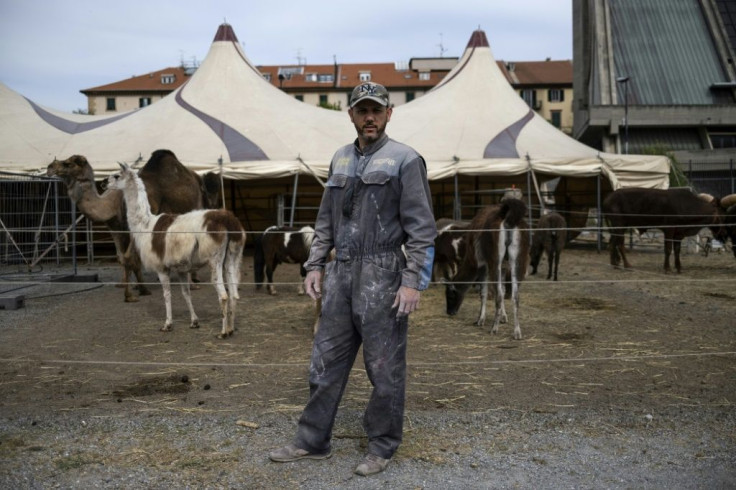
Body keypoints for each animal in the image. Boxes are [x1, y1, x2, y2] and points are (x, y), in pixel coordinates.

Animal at [47, 149, 221, 302]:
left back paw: (192, 283)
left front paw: (132, 294)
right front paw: (137, 287)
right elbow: (123, 257)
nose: (50, 167)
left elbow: (131, 257)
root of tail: (197, 179)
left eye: (69, 163)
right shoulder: (116, 227)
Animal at [107, 163, 244, 338]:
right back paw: (231, 329)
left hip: (215, 258)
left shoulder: (161, 267)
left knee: (224, 295)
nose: (104, 183)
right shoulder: (181, 268)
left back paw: (223, 332)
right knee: (233, 293)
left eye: (117, 175)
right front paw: (194, 322)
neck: (145, 225)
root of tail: (228, 221)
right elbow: (186, 293)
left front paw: (167, 324)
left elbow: (167, 294)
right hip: (233, 255)